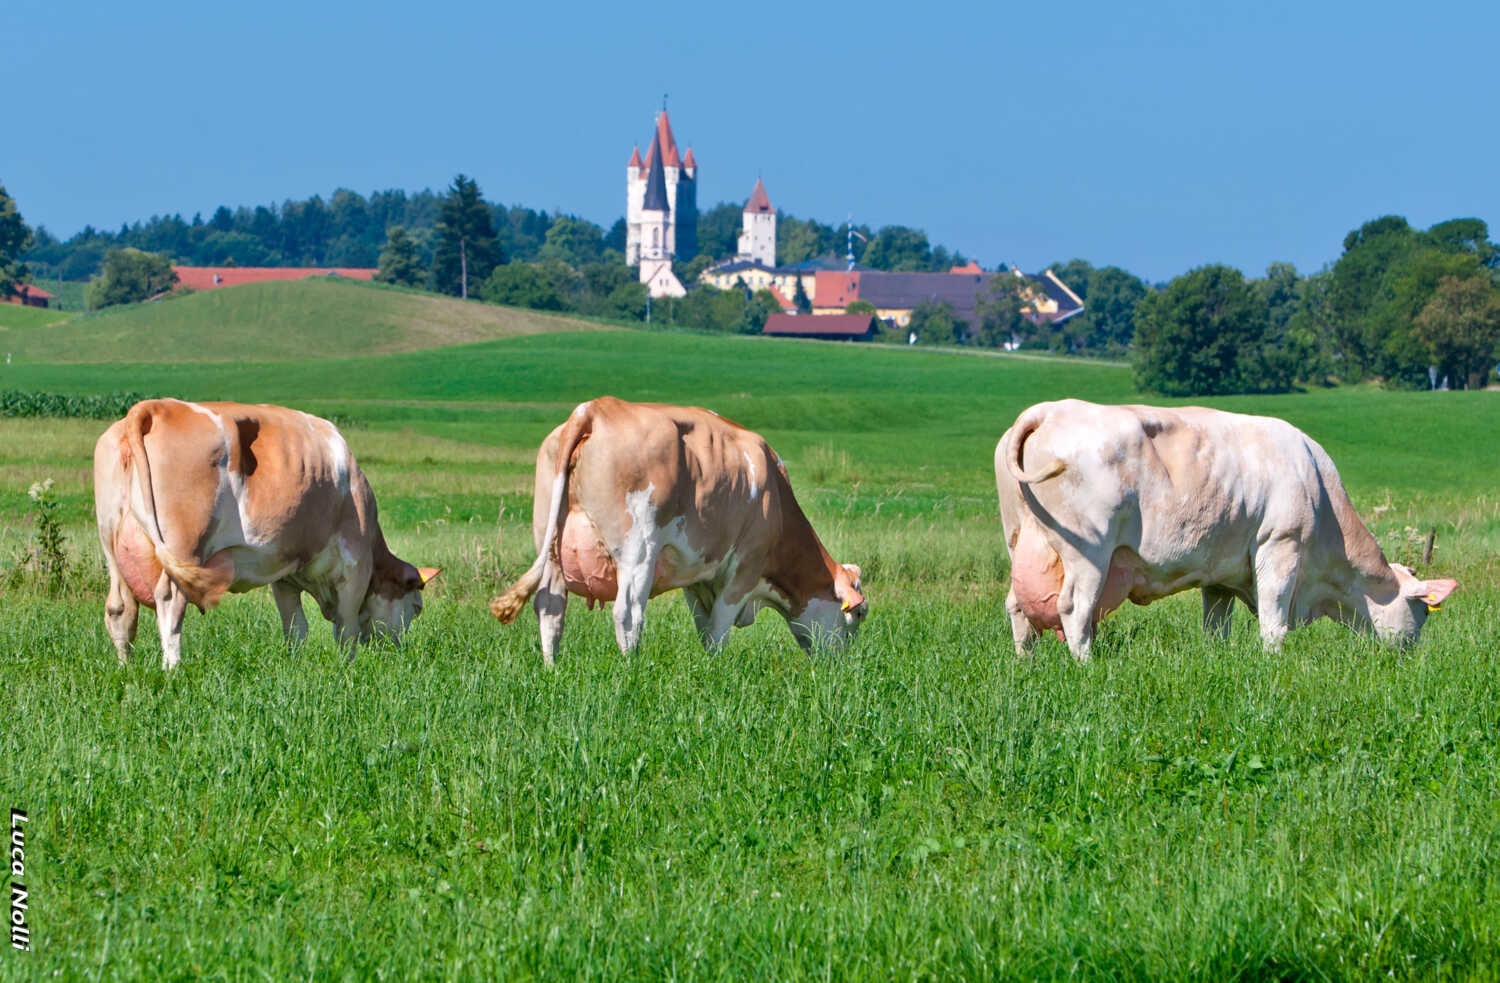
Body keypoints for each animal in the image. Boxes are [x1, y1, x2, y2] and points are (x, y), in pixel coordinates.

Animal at [93, 399, 438, 668]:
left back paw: (125, 668)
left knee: (120, 609)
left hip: (112, 547)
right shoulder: (355, 565)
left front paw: (294, 665)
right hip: (183, 547)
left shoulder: (285, 574)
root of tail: (154, 407)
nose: (396, 649)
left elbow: (296, 628)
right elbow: (346, 629)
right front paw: (347, 667)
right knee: (169, 600)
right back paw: (173, 667)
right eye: (417, 607)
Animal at [490, 397, 867, 664]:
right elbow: (717, 632)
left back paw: (551, 668)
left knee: (550, 609)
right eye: (859, 615)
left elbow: (704, 627)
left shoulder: (697, 575)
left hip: (550, 542)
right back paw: (632, 669)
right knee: (628, 613)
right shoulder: (745, 567)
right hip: (638, 549)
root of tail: (596, 408)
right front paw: (715, 672)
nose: (842, 668)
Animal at [995, 399, 1457, 662]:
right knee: (1075, 608)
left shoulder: (1218, 575)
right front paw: (1273, 664)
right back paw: (1087, 665)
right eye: (1421, 611)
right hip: (1088, 550)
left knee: (1017, 605)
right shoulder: (1280, 546)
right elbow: (1273, 621)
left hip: (1020, 539)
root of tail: (1050, 409)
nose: (1411, 657)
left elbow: (1216, 627)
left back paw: (1024, 663)